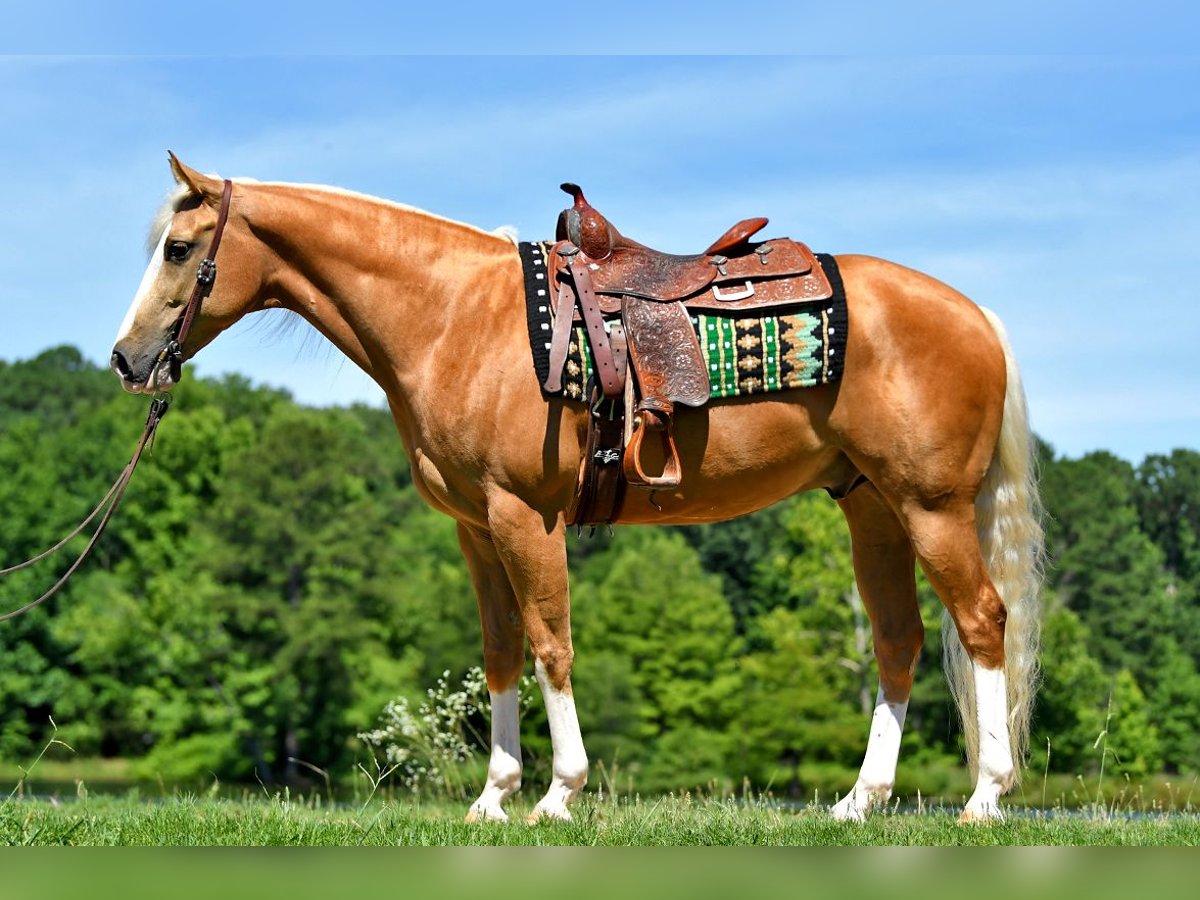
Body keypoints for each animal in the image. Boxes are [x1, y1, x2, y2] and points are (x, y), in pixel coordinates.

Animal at [117, 157, 1046, 825]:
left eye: (178, 249)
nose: (128, 359)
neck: (455, 317)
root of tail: (978, 316)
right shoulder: (475, 528)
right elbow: (500, 652)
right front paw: (492, 797)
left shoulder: (525, 516)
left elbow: (550, 643)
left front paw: (559, 792)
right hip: (871, 508)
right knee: (898, 642)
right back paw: (860, 801)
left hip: (931, 508)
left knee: (981, 622)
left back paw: (986, 795)